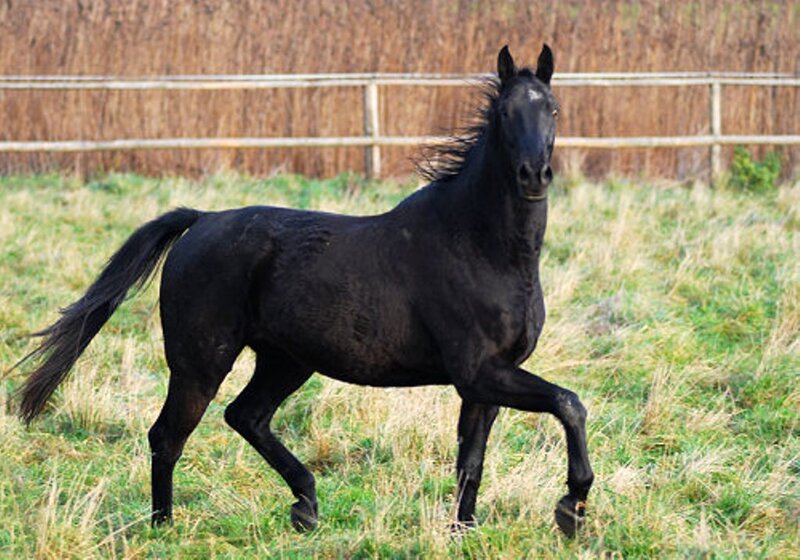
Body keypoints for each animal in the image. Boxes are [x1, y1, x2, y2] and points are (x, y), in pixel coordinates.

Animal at [16, 45, 594, 536]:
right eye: (505, 114)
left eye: (554, 110)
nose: (534, 175)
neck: (480, 247)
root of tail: (200, 221)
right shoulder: (478, 371)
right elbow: (569, 403)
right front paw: (571, 506)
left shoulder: (482, 382)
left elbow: (471, 460)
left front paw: (463, 530)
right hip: (200, 362)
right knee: (168, 436)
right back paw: (166, 527)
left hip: (285, 360)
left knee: (245, 417)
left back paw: (306, 505)